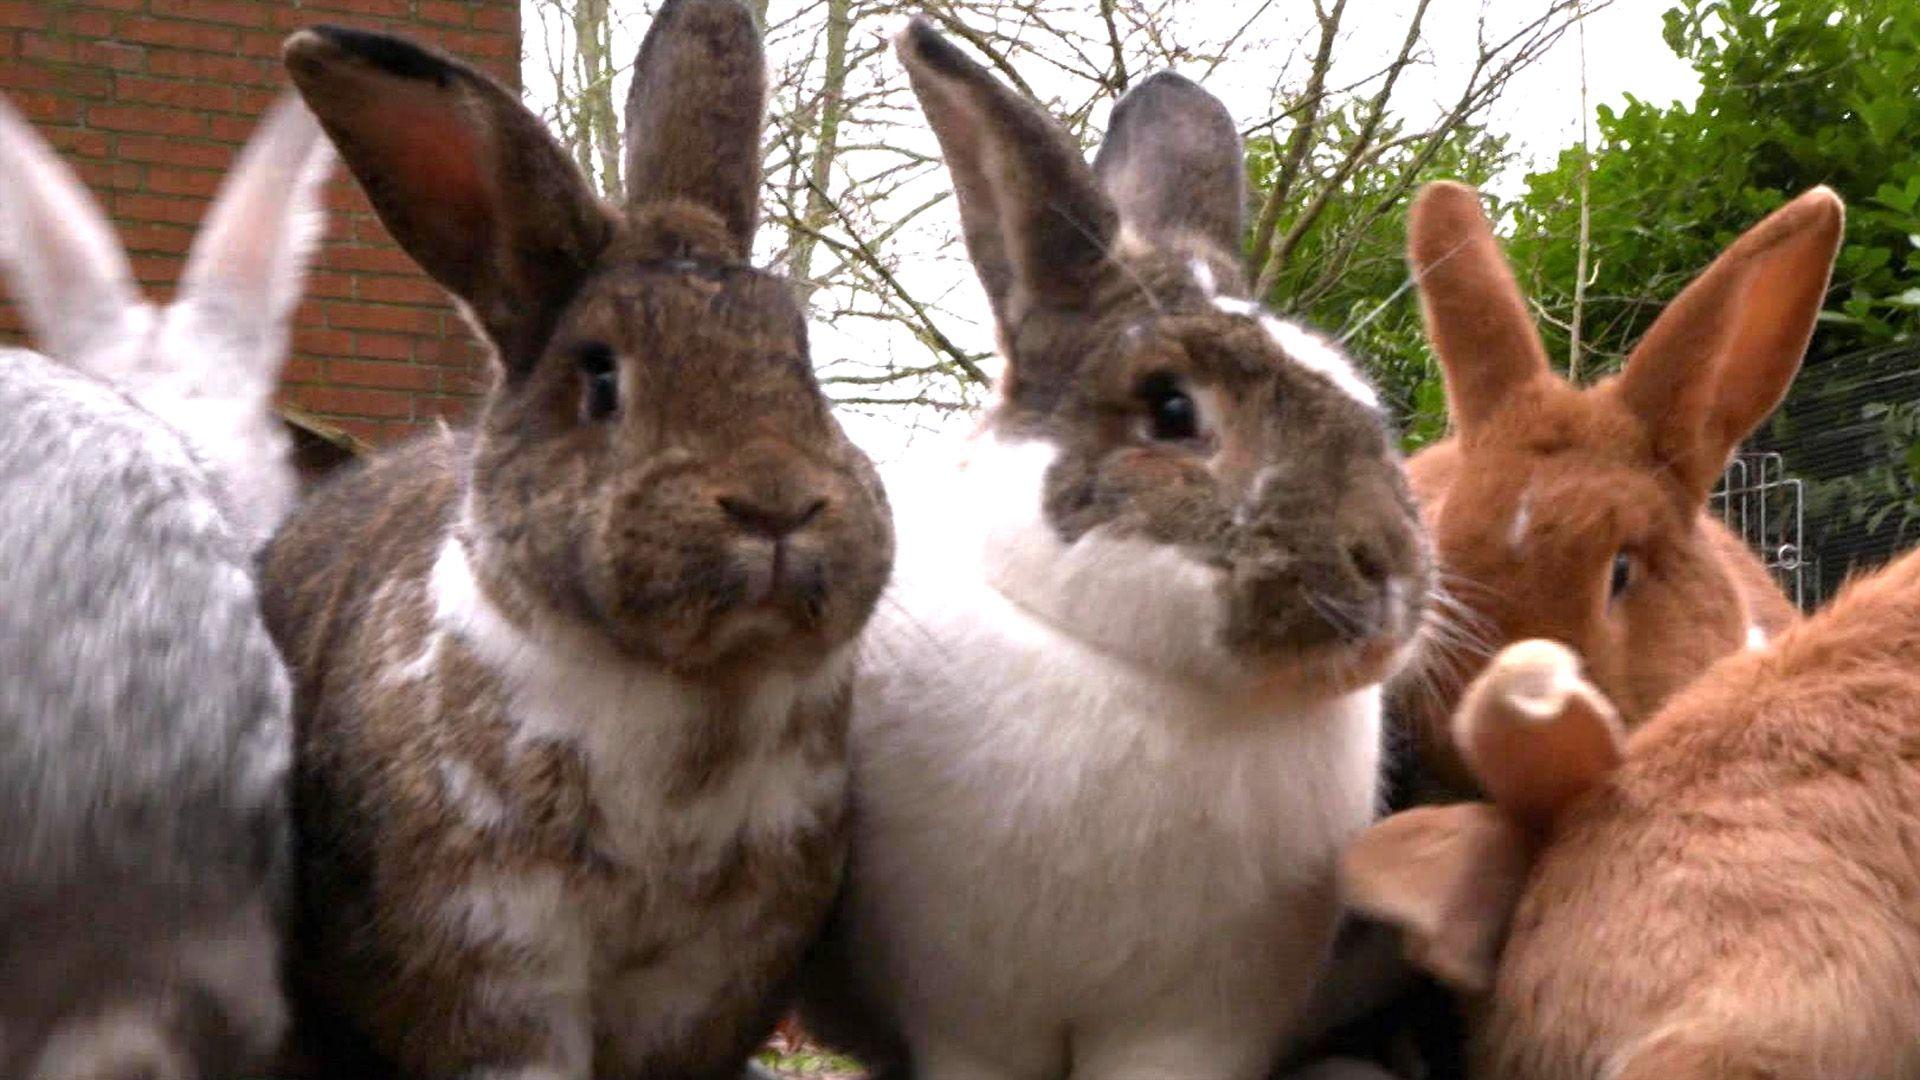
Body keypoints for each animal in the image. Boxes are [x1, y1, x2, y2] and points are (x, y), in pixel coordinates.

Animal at [258, 6, 894, 1078]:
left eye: (801, 361)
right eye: (600, 377)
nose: (776, 504)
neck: (693, 695)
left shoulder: (704, 989)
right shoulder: (491, 968)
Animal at [793, 22, 1432, 1080]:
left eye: (1359, 395)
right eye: (1171, 410)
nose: (1389, 565)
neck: (1137, 678)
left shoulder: (1200, 1022)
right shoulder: (972, 1017)